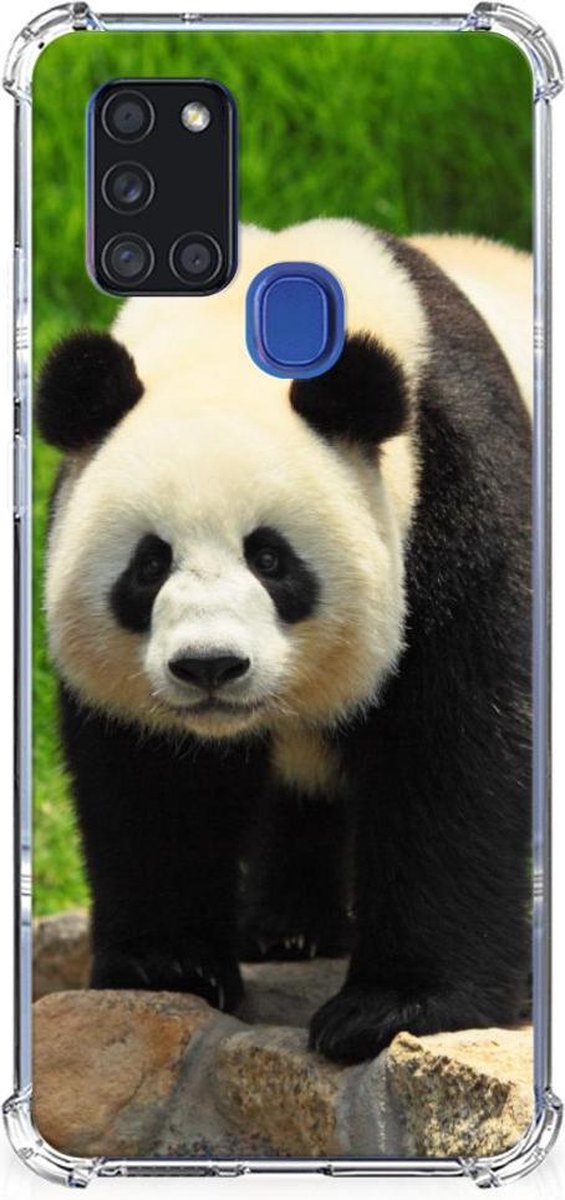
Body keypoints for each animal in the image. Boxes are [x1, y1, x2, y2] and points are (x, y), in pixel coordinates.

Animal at [38, 220, 532, 1065]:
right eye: (149, 564)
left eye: (269, 558)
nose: (209, 666)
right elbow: (152, 778)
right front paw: (168, 966)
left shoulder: (457, 492)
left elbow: (456, 749)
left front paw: (392, 1007)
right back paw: (287, 929)